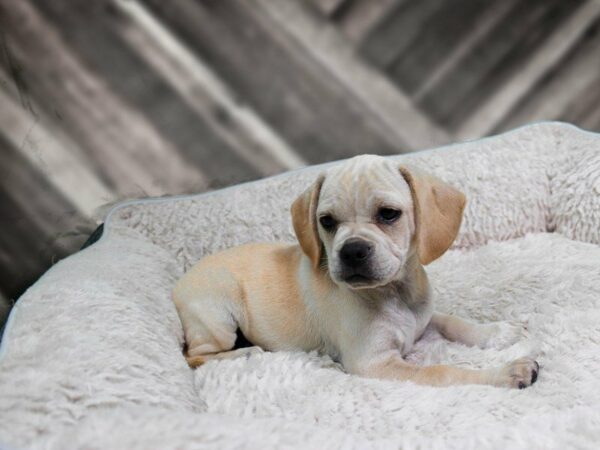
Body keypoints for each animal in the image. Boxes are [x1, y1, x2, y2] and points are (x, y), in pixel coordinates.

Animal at [172, 155, 540, 386]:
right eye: (326, 221)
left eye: (389, 214)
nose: (352, 251)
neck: (394, 293)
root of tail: (179, 283)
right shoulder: (376, 364)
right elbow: (446, 371)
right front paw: (507, 373)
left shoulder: (424, 319)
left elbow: (455, 322)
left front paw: (498, 332)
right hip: (219, 315)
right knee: (196, 355)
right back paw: (246, 353)